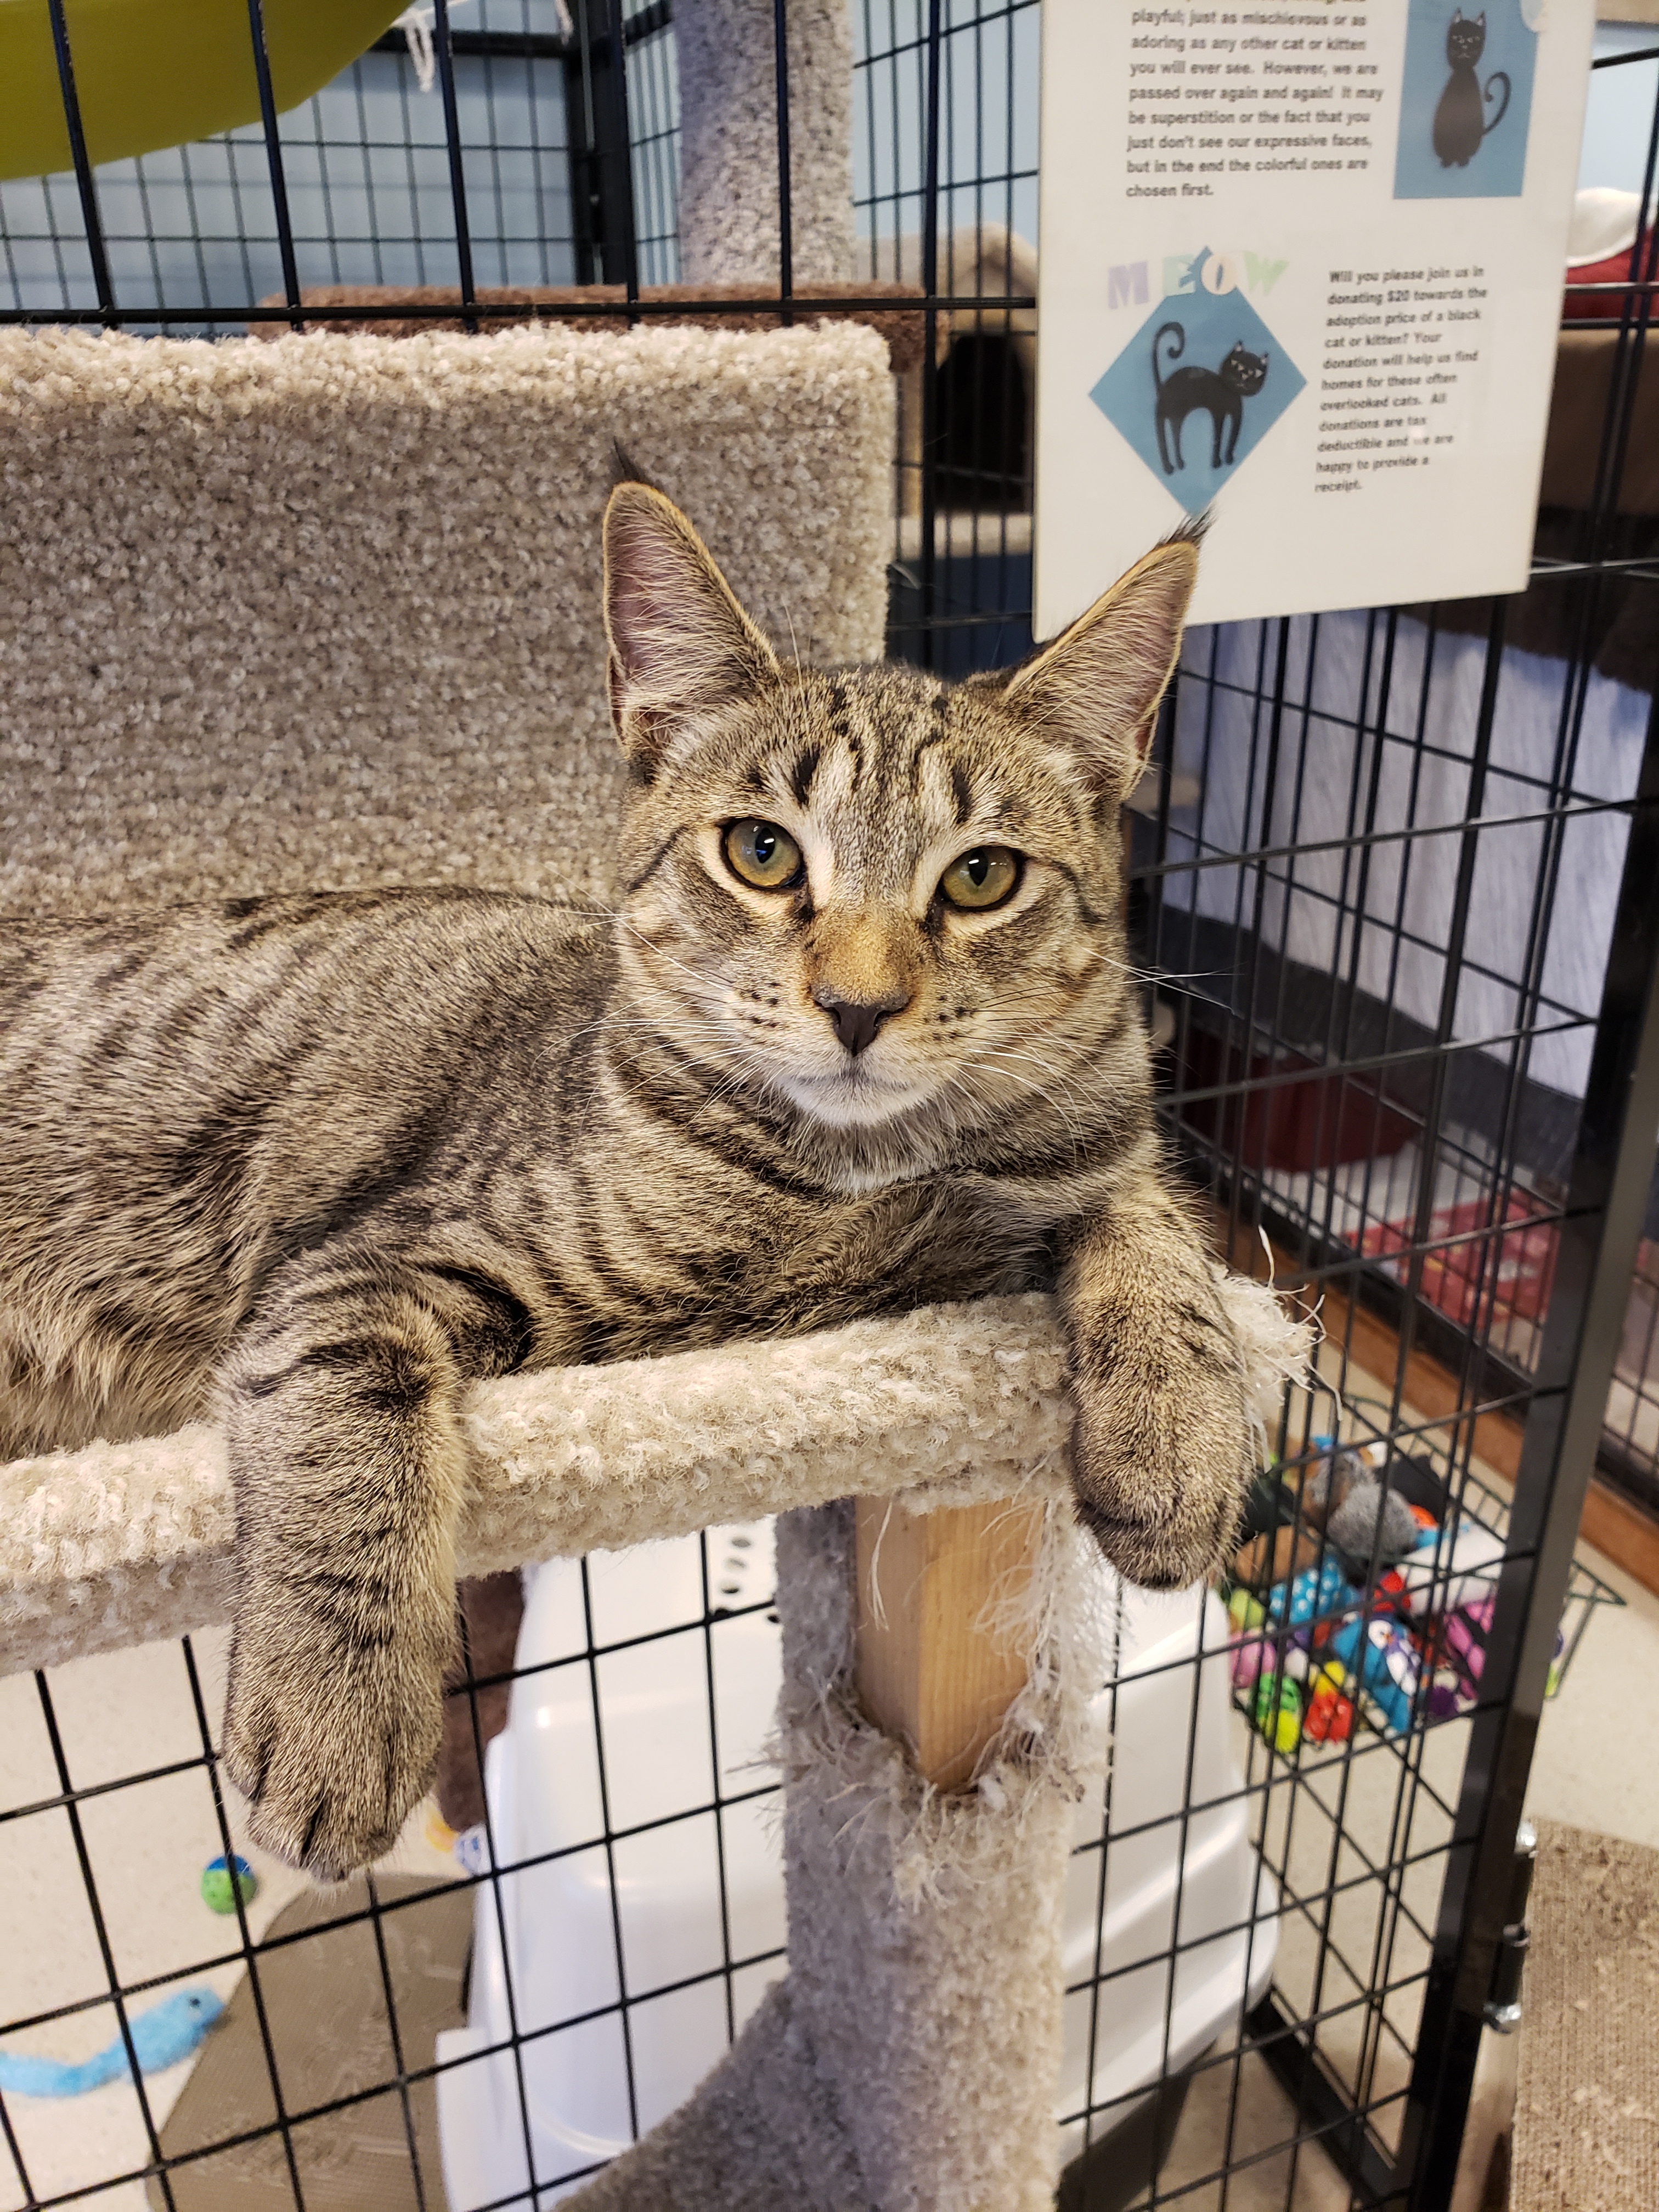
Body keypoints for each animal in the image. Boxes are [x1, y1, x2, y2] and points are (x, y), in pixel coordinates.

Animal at [0, 479, 1248, 1867]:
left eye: (982, 875)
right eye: (762, 852)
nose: (858, 1007)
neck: (856, 1178)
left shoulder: (1081, 1157)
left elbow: (1162, 1235)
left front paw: (1183, 1437)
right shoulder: (364, 1264)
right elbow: (351, 1431)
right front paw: (336, 1717)